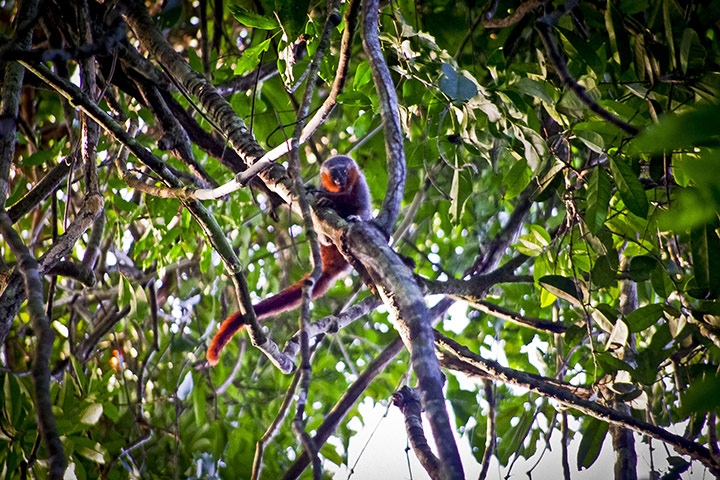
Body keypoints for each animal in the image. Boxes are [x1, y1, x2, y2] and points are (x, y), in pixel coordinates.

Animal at [206, 155, 372, 366]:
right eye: (333, 173)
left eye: (343, 172)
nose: (338, 180)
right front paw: (324, 199)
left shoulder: (361, 186)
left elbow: (364, 210)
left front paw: (356, 217)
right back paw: (325, 236)